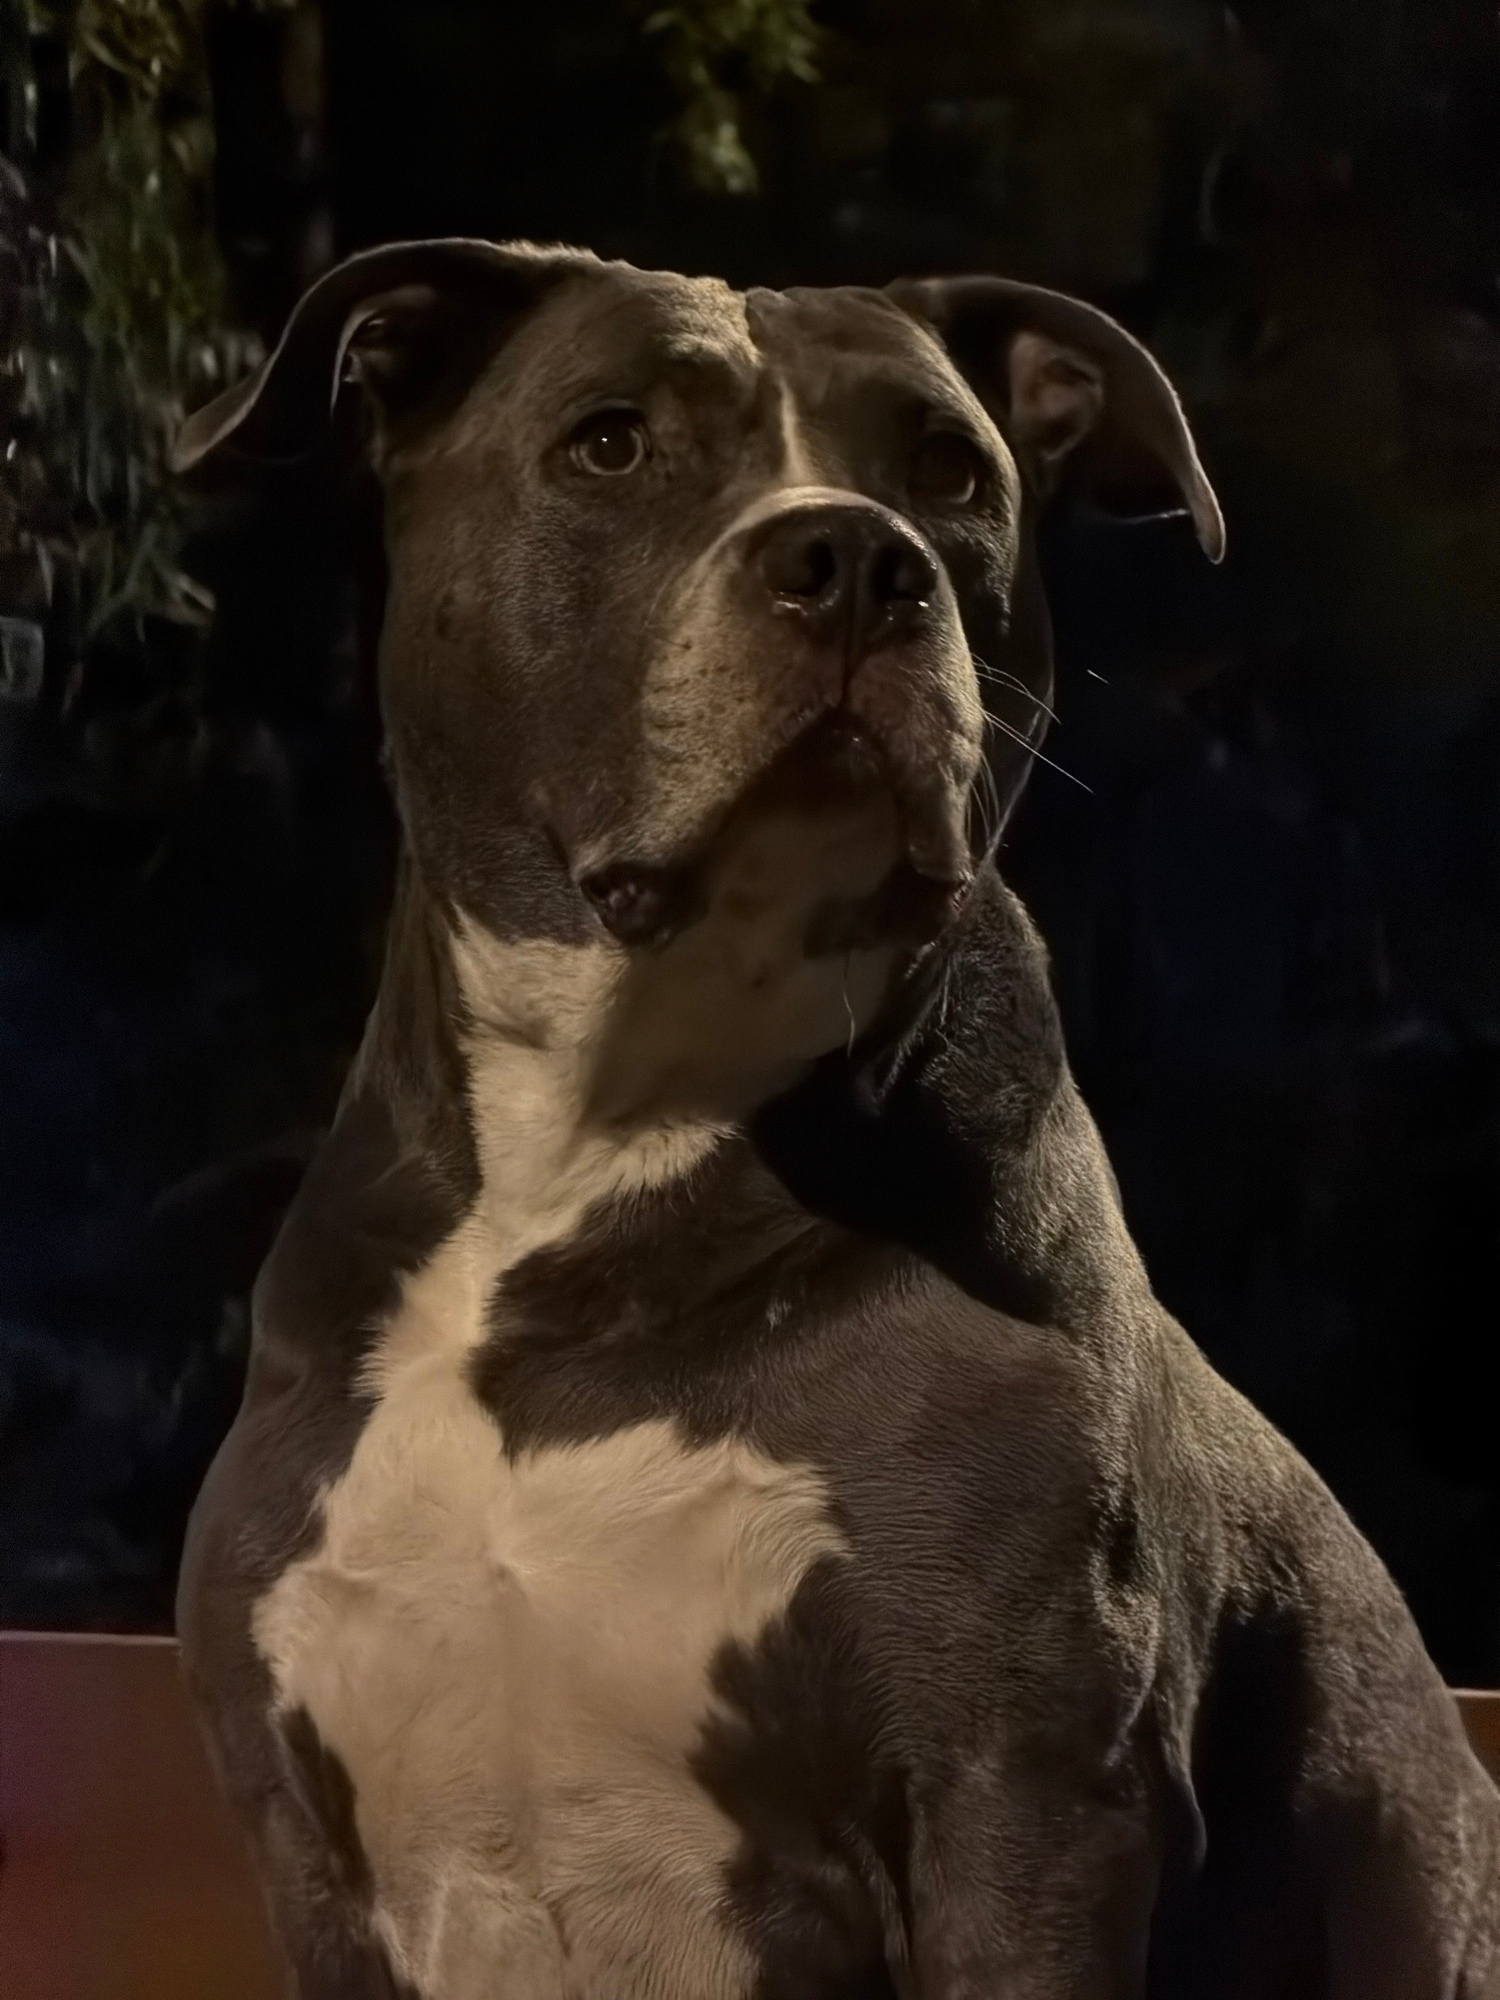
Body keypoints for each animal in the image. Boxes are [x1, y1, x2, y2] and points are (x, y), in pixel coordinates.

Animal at [174, 240, 1500, 1999]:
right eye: (612, 445)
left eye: (948, 473)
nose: (856, 558)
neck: (606, 1147)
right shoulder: (308, 1851)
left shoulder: (1025, 1801)